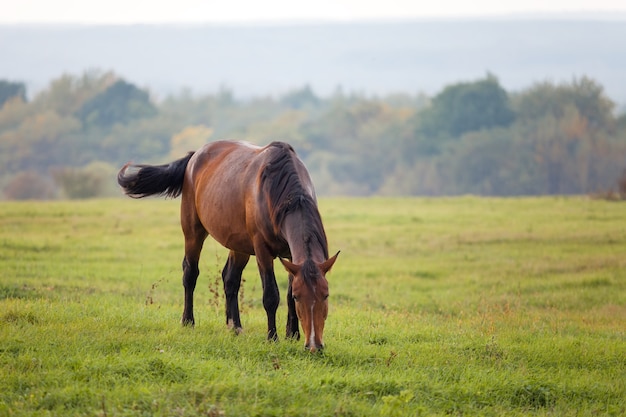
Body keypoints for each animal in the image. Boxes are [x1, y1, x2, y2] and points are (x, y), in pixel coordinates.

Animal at [116, 141, 336, 352]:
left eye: (325, 295)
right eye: (300, 298)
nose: (314, 345)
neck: (279, 192)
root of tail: (194, 156)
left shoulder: (290, 255)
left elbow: (286, 293)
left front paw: (292, 334)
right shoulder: (262, 251)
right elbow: (271, 295)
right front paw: (272, 338)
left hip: (239, 246)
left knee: (230, 279)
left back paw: (234, 326)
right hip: (193, 232)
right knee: (190, 273)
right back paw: (188, 321)